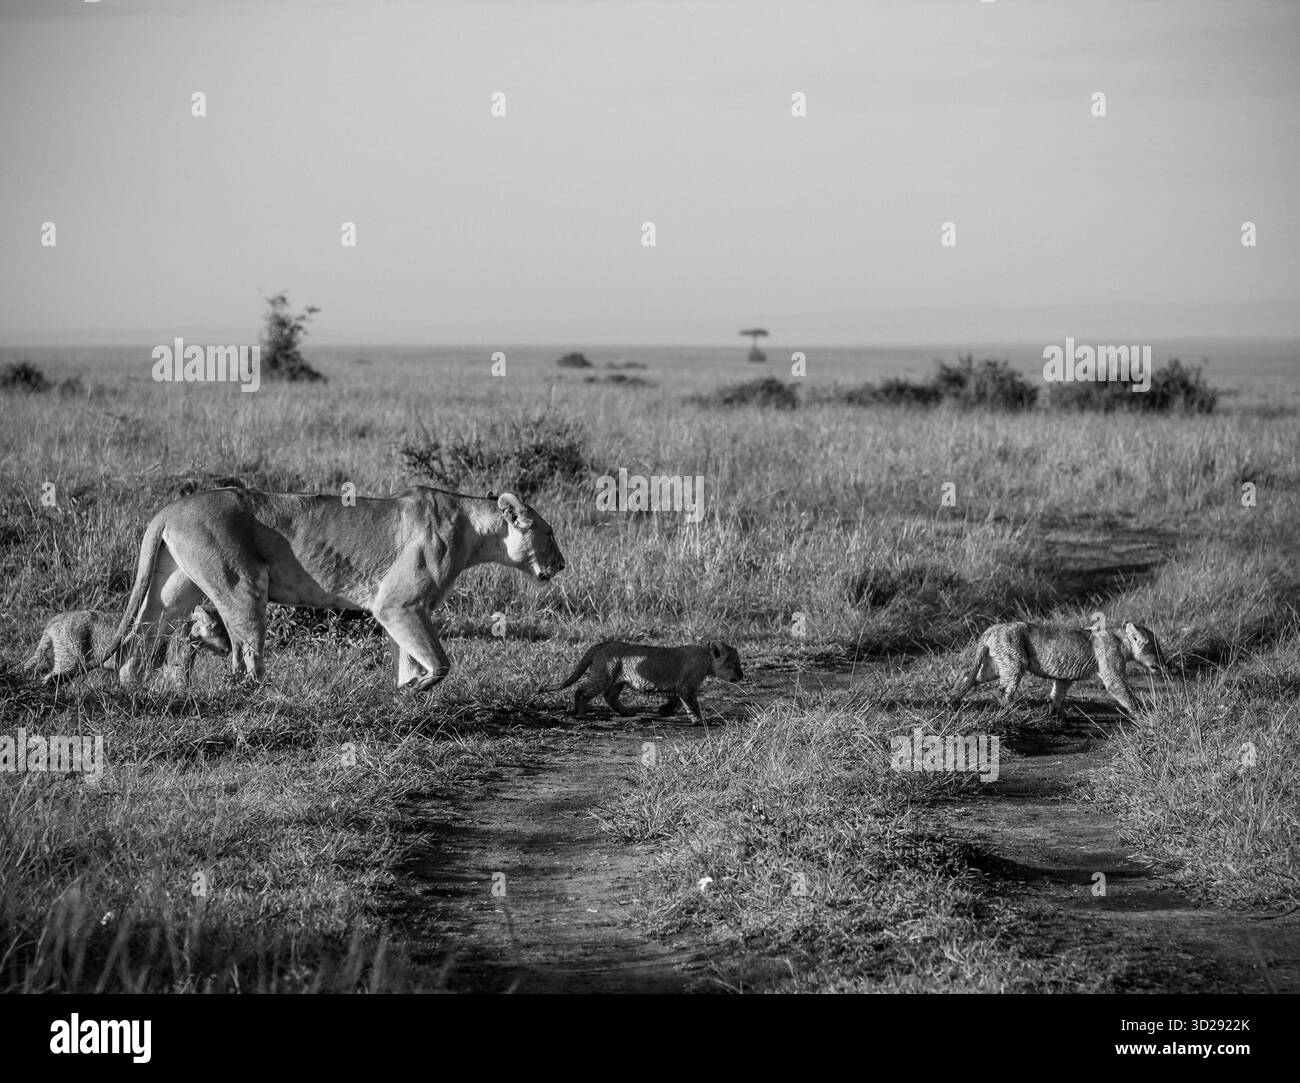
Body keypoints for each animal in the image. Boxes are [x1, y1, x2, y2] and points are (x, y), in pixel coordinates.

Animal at [102, 487, 564, 689]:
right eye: (550, 533)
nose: (561, 564)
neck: (475, 529)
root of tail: (169, 508)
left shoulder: (405, 610)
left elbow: (410, 658)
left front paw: (403, 698)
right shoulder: (398, 604)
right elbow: (439, 662)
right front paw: (415, 691)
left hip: (174, 588)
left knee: (140, 638)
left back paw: (132, 687)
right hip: (242, 584)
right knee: (246, 657)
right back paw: (270, 699)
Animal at [538, 641, 744, 725]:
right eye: (735, 664)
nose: (742, 676)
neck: (706, 658)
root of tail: (602, 644)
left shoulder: (679, 687)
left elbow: (676, 701)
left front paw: (664, 710)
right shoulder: (687, 687)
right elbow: (692, 705)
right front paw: (700, 721)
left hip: (618, 679)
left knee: (609, 696)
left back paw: (626, 711)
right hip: (604, 675)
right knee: (582, 691)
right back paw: (581, 713)